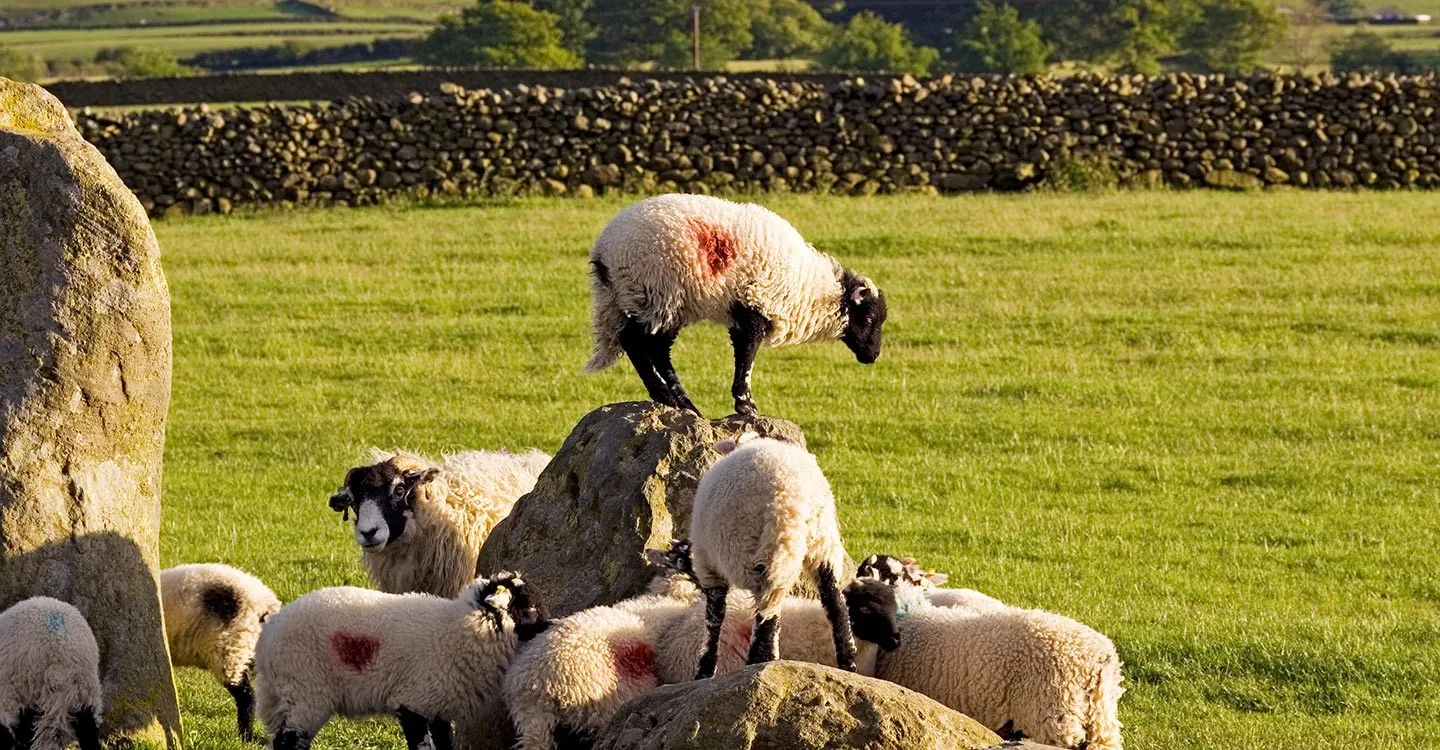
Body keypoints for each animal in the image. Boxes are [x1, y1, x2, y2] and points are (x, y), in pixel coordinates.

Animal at [253, 571, 544, 750]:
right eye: (529, 607)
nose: (550, 625)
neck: (455, 630)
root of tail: (266, 641)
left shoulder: (437, 705)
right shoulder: (412, 703)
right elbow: (423, 746)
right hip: (307, 690)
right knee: (287, 741)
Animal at [585, 193, 888, 416]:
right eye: (868, 319)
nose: (873, 356)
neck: (809, 291)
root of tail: (604, 253)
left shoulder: (741, 314)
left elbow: (742, 354)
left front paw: (743, 405)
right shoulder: (756, 306)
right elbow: (747, 357)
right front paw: (746, 406)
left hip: (663, 303)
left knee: (657, 349)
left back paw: (685, 404)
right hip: (656, 291)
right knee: (633, 341)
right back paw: (666, 398)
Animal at [687, 434, 855, 679]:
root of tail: (788, 495)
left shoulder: (707, 563)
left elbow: (714, 616)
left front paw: (705, 670)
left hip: (748, 546)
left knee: (765, 609)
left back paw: (759, 660)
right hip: (820, 542)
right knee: (834, 602)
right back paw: (847, 663)